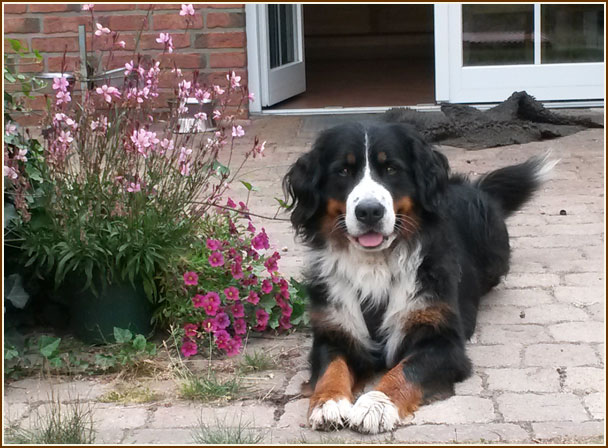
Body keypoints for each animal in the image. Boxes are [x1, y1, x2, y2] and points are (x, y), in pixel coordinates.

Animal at [283, 122, 554, 434]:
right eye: (343, 170)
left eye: (391, 168)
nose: (369, 211)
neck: (375, 265)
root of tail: (474, 188)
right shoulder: (334, 330)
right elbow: (332, 367)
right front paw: (328, 402)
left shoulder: (443, 341)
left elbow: (405, 371)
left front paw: (376, 405)